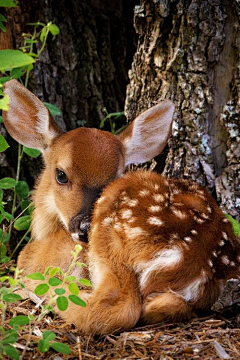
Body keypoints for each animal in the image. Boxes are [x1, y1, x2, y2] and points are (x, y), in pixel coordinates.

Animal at [2, 79, 239, 334]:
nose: (84, 226)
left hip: (112, 236)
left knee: (118, 307)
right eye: (61, 175)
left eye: (114, 176)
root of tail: (192, 260)